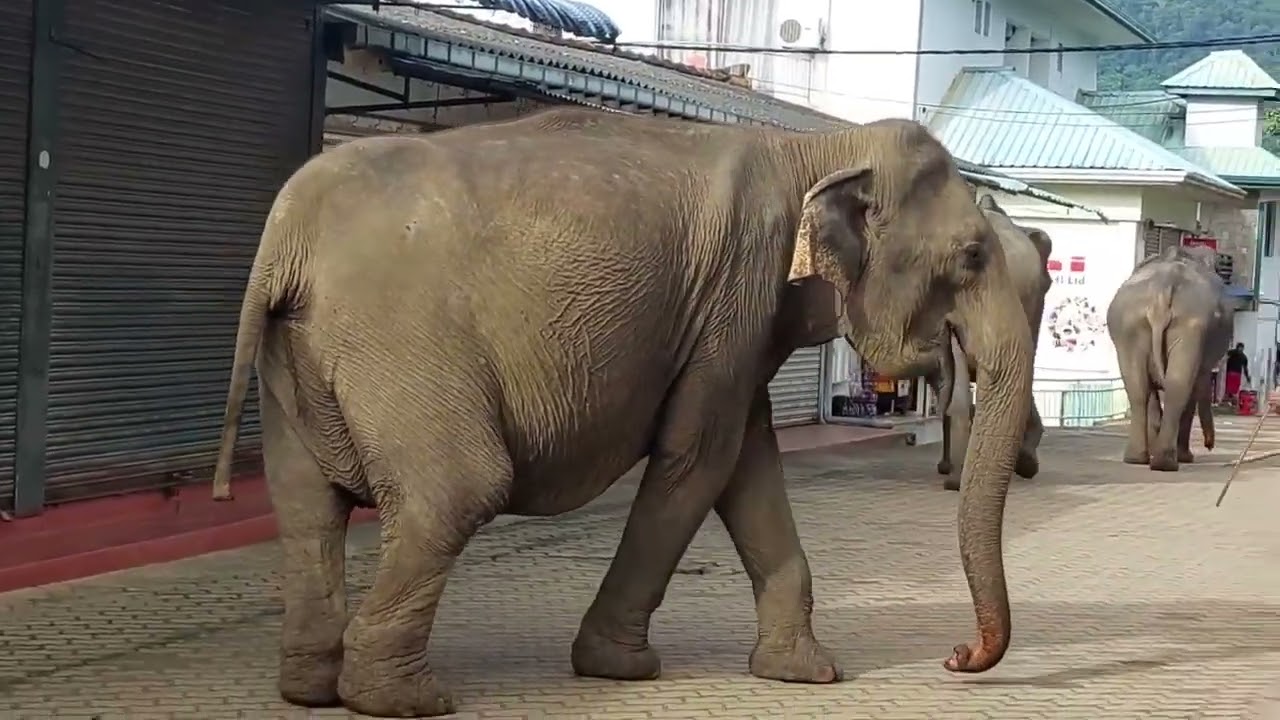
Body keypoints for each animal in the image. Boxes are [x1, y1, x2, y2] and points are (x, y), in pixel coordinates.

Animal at [211, 107, 1035, 718]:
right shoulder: (737, 289)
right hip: (399, 341)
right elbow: (699, 457)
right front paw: (621, 668)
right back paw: (402, 700)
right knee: (455, 491)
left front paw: (807, 674)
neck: (816, 148)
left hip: (298, 360)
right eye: (970, 256)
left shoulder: (734, 325)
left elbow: (747, 462)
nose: (956, 656)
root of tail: (288, 235)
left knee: (306, 507)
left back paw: (311, 689)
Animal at [1107, 243, 1231, 471]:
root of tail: (1163, 287)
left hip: (1132, 326)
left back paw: (1141, 459)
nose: (1209, 445)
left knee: (1139, 388)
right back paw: (1167, 461)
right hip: (1187, 326)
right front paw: (1186, 457)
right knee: (1178, 386)